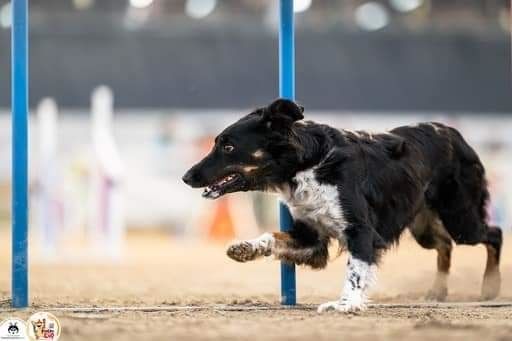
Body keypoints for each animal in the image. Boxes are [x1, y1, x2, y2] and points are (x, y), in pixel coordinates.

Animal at [182, 98, 502, 310]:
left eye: (228, 146)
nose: (186, 176)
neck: (306, 164)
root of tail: (453, 131)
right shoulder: (311, 239)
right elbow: (273, 236)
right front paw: (245, 248)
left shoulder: (360, 231)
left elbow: (356, 270)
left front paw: (346, 304)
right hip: (423, 226)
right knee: (445, 245)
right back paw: (437, 291)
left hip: (460, 218)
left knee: (493, 234)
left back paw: (490, 286)